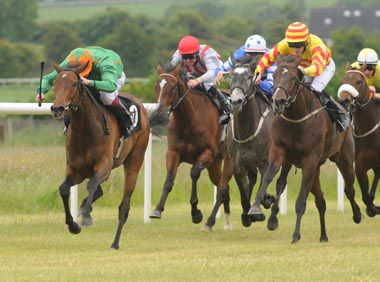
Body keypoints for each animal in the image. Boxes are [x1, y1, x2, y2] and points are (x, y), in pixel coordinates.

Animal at [50, 64, 150, 249]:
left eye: (74, 84)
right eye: (55, 83)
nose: (57, 108)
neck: (85, 129)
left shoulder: (104, 166)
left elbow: (91, 186)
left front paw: (86, 216)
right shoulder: (76, 170)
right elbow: (64, 189)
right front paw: (73, 224)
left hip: (134, 161)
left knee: (124, 207)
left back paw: (115, 242)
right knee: (99, 190)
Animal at [149, 62, 232, 229]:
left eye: (173, 88)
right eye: (157, 86)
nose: (161, 113)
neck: (188, 121)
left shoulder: (207, 153)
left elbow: (194, 173)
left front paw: (196, 213)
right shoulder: (173, 152)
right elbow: (169, 180)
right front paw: (157, 209)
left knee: (223, 187)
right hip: (214, 165)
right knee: (223, 187)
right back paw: (227, 223)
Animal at [205, 57, 290, 231]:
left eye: (250, 76)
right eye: (231, 76)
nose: (236, 101)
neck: (247, 131)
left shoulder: (266, 163)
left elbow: (263, 186)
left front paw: (260, 207)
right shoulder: (238, 165)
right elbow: (244, 192)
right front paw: (247, 215)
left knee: (281, 183)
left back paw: (272, 217)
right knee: (252, 181)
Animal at [248, 55, 360, 242]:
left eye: (294, 78)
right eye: (274, 76)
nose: (278, 101)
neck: (296, 117)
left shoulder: (309, 160)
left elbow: (301, 201)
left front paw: (296, 235)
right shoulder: (279, 152)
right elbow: (269, 178)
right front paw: (258, 208)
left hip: (343, 158)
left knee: (349, 189)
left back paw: (358, 214)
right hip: (310, 168)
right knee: (319, 200)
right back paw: (322, 235)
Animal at [338, 68, 380, 216]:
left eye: (359, 81)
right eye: (342, 81)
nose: (345, 100)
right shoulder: (360, 167)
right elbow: (365, 197)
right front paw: (372, 208)